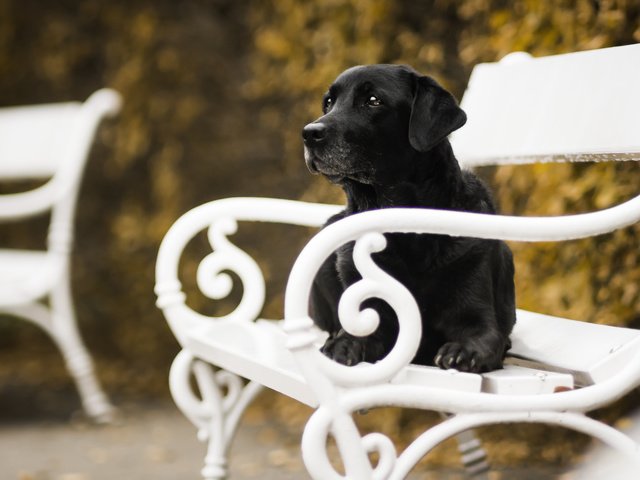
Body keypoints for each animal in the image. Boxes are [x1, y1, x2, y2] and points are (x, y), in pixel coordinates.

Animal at [302, 63, 516, 374]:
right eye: (328, 103)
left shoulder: (479, 315)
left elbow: (483, 336)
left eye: (373, 100)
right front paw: (341, 345)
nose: (309, 133)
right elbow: (355, 333)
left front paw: (463, 351)